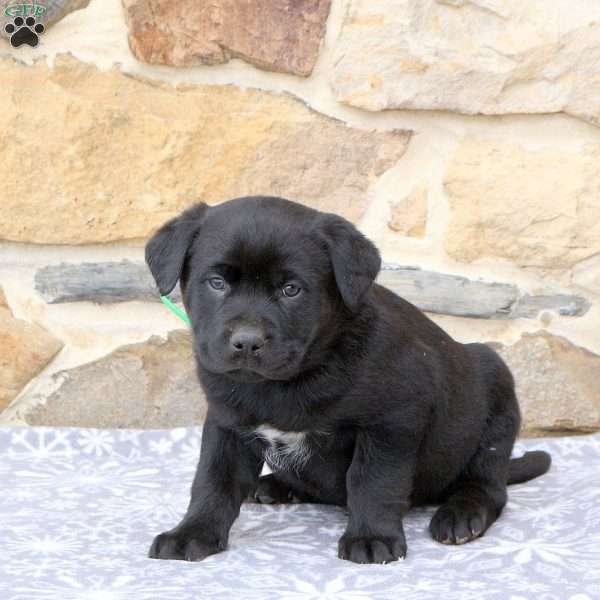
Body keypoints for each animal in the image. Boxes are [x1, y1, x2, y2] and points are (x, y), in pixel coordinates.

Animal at [146, 196, 552, 564]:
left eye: (291, 289)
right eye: (216, 283)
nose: (247, 341)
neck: (288, 381)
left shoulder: (392, 422)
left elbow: (372, 481)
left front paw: (372, 538)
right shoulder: (226, 422)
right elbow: (213, 481)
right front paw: (192, 533)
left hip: (495, 395)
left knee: (487, 485)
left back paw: (461, 515)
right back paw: (275, 484)